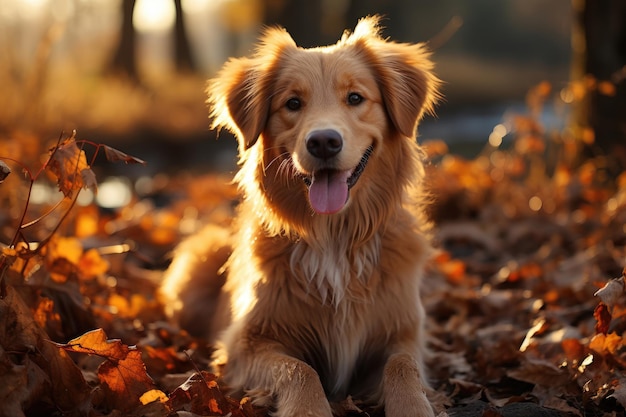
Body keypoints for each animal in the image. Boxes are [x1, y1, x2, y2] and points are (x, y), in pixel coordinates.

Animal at [162, 16, 438, 416]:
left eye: (356, 98)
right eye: (292, 103)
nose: (323, 142)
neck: (335, 236)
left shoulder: (403, 333)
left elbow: (403, 367)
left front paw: (413, 407)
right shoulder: (246, 342)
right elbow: (300, 369)